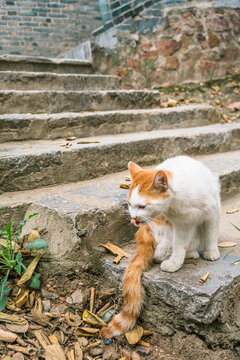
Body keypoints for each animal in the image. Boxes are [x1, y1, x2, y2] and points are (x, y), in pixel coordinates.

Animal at [100, 156, 220, 338]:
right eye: (129, 204)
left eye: (142, 206)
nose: (133, 218)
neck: (181, 199)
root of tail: (143, 234)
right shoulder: (180, 224)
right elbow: (179, 245)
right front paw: (175, 262)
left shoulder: (212, 211)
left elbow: (211, 233)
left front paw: (212, 251)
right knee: (161, 253)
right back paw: (188, 254)